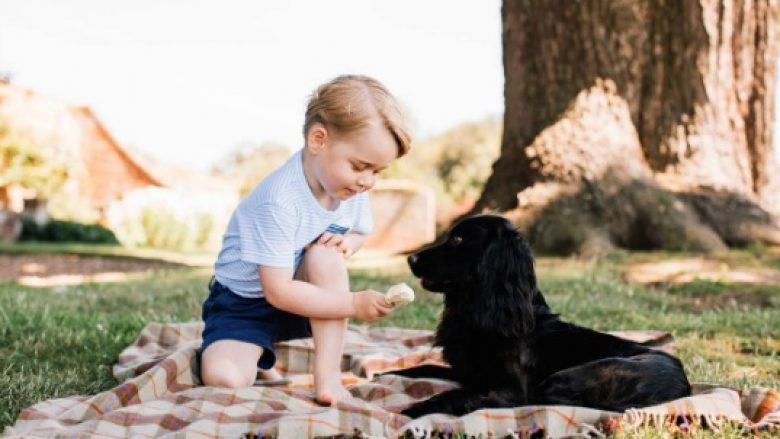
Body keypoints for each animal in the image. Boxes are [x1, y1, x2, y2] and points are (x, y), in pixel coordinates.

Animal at [388, 215, 688, 418]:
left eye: (458, 240)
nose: (411, 259)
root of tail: (683, 388)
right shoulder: (466, 372)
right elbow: (420, 368)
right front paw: (386, 374)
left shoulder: (510, 386)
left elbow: (461, 392)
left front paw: (418, 408)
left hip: (570, 376)